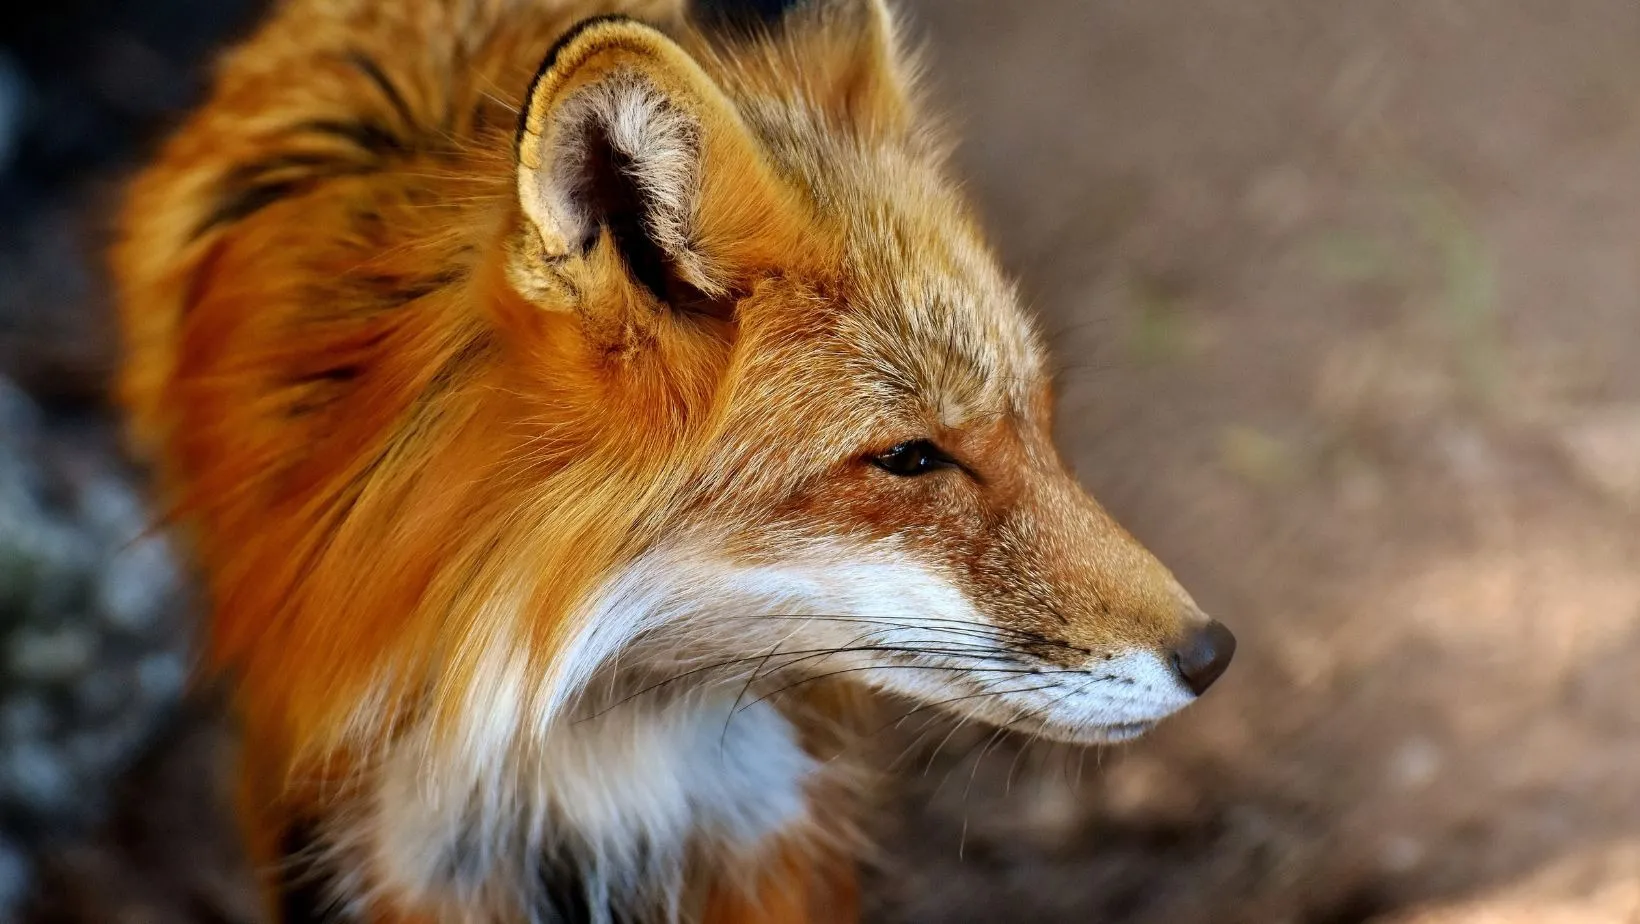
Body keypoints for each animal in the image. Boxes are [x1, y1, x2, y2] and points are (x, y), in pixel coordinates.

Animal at [111, 0, 1236, 921]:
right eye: (911, 458)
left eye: (1038, 420)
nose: (1211, 653)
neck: (577, 722)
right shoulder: (413, 847)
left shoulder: (760, 812)